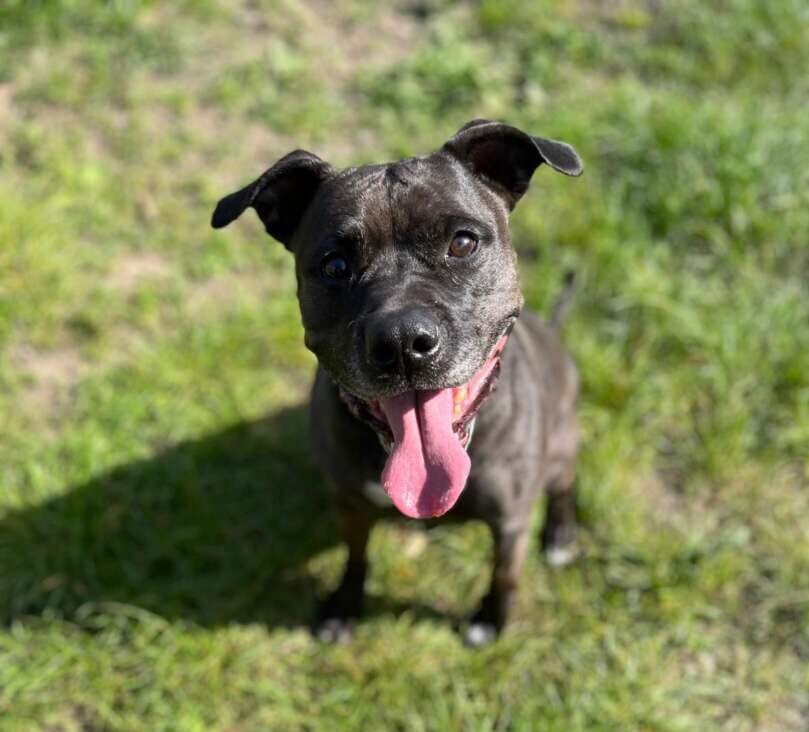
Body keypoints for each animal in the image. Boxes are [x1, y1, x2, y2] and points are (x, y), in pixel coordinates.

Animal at [211, 119, 583, 646]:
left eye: (462, 243)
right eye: (335, 265)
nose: (403, 340)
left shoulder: (511, 520)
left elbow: (504, 572)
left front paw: (491, 619)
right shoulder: (349, 500)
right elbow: (356, 556)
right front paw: (344, 607)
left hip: (564, 441)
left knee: (566, 484)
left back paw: (562, 535)